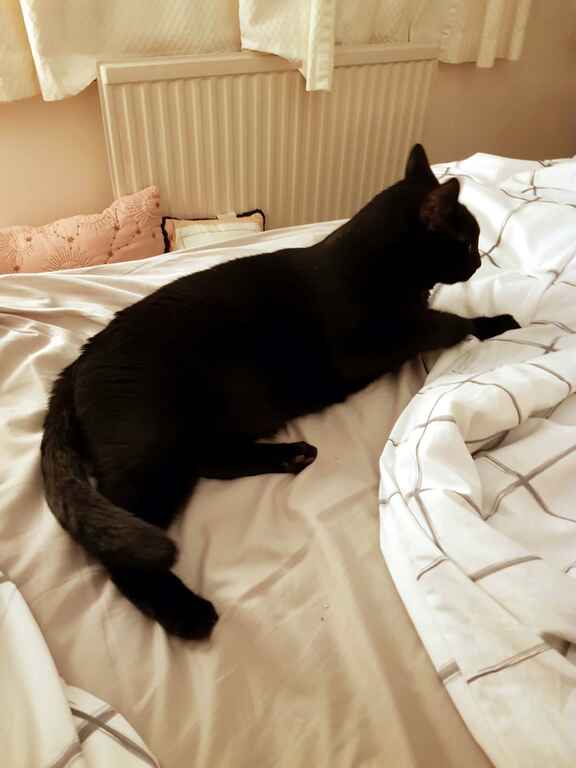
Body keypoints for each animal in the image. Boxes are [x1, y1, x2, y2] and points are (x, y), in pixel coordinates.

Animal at [41, 144, 519, 640]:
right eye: (467, 242)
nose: (479, 263)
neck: (376, 266)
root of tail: (75, 366)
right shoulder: (373, 346)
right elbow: (444, 324)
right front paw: (490, 323)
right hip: (153, 452)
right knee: (122, 552)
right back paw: (187, 613)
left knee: (212, 461)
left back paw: (291, 456)